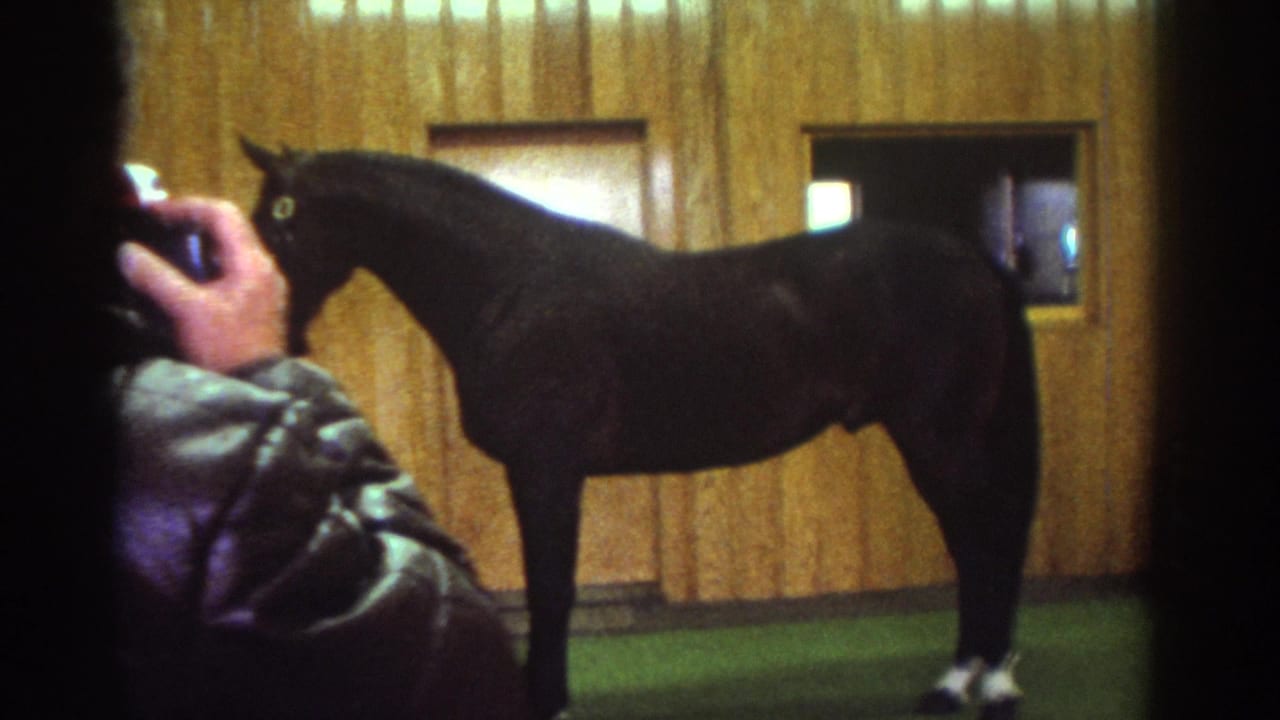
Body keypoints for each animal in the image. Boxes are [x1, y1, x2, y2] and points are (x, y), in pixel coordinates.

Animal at [241, 139, 1040, 720]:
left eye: (282, 211)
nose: (270, 317)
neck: (509, 287)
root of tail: (972, 257)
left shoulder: (545, 469)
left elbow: (552, 590)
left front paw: (547, 701)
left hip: (937, 439)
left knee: (984, 541)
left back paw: (973, 684)